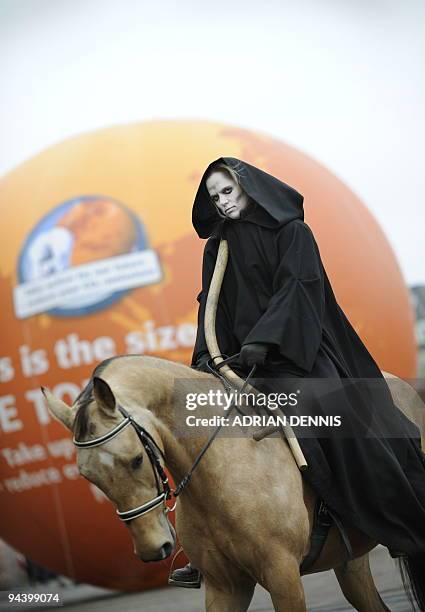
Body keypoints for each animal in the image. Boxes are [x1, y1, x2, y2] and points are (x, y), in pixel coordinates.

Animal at [44, 354, 424, 612]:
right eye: (88, 476)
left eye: (137, 459)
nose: (154, 549)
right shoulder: (224, 587)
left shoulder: (283, 576)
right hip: (350, 563)